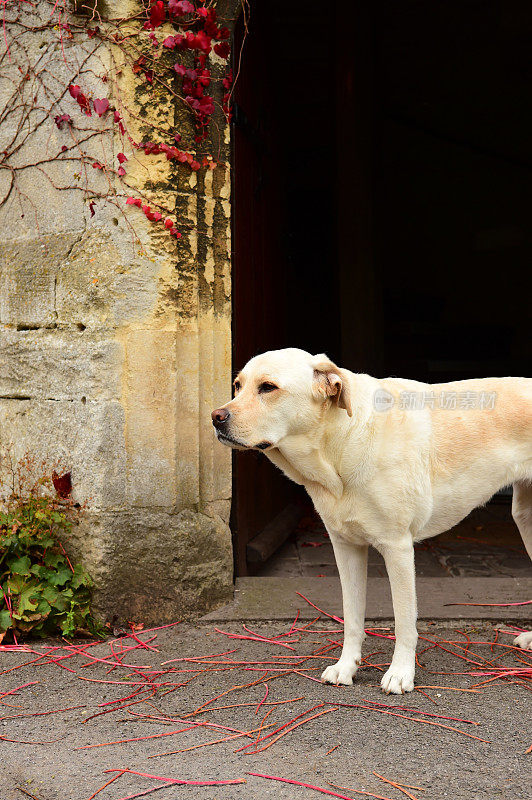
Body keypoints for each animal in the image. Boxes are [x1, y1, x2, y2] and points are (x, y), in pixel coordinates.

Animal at [212, 350, 532, 692]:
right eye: (237, 385)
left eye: (268, 387)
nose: (215, 417)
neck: (340, 443)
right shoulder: (345, 548)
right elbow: (352, 617)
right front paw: (346, 667)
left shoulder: (398, 548)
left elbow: (404, 621)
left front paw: (401, 673)